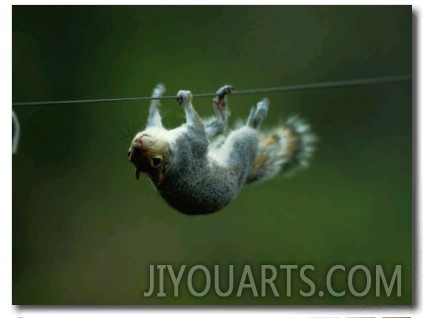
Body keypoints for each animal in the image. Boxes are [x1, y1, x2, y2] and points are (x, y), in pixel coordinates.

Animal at [129, 83, 316, 215]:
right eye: (155, 161)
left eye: (129, 153)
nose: (137, 141)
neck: (171, 152)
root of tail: (246, 175)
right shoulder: (191, 146)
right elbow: (199, 129)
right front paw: (186, 100)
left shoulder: (165, 132)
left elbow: (153, 119)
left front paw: (156, 97)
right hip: (241, 144)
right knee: (246, 133)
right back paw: (256, 117)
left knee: (219, 126)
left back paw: (221, 105)